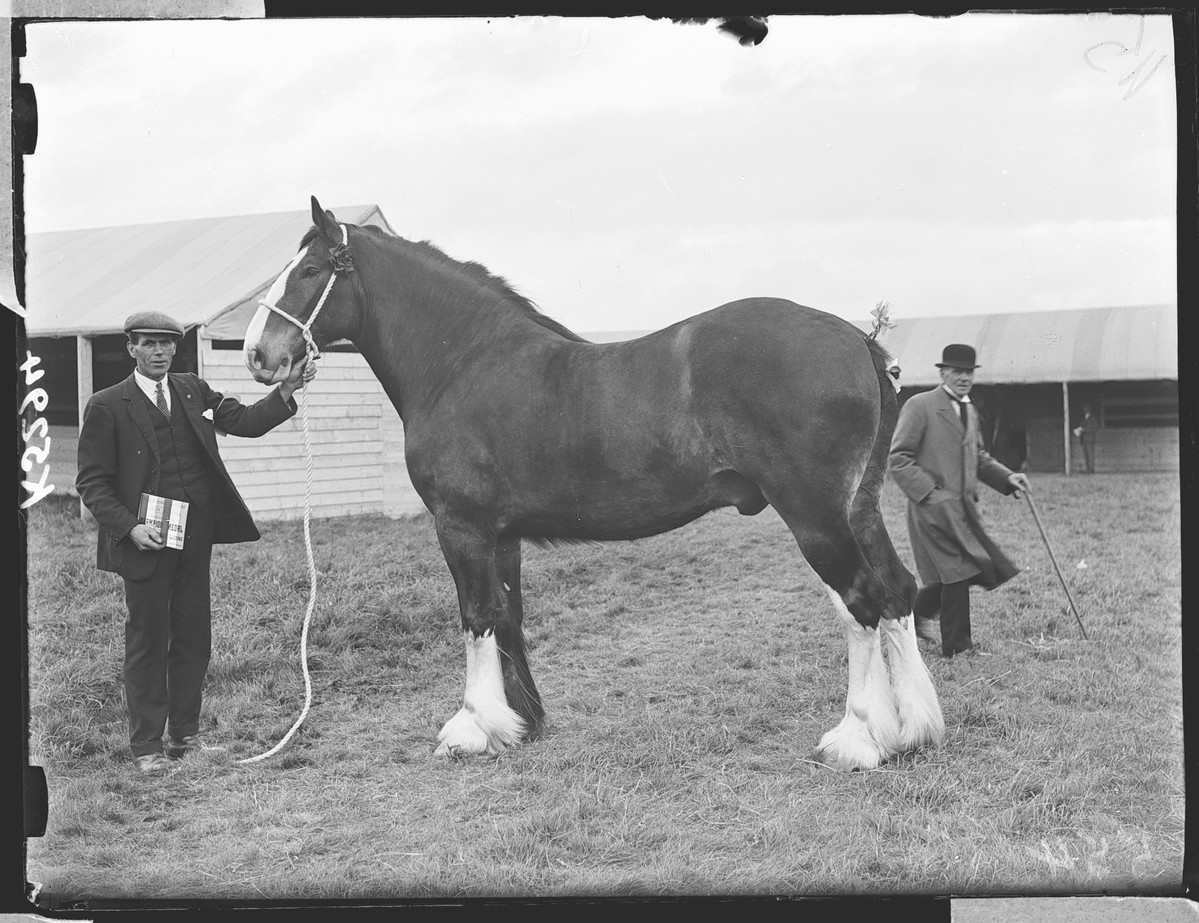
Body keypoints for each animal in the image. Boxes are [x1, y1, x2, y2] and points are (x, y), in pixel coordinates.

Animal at [243, 196, 940, 767]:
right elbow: (507, 615)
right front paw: (520, 723)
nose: (256, 353)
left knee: (861, 603)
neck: (464, 361)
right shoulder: (501, 535)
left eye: (311, 270)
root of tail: (858, 340)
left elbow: (475, 616)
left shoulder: (461, 528)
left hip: (815, 516)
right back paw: (914, 729)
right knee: (898, 593)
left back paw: (857, 739)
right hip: (858, 509)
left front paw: (470, 728)